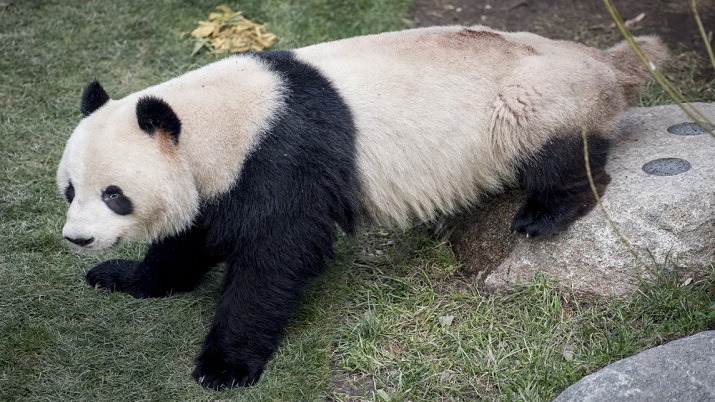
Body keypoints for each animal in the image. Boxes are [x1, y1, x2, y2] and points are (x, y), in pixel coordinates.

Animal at [58, 25, 668, 390]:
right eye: (70, 190)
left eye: (115, 195)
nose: (77, 238)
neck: (225, 119)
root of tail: (605, 60)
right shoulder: (225, 178)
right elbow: (191, 237)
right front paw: (123, 276)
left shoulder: (283, 158)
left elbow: (275, 258)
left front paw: (224, 366)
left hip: (536, 97)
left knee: (557, 148)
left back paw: (547, 212)